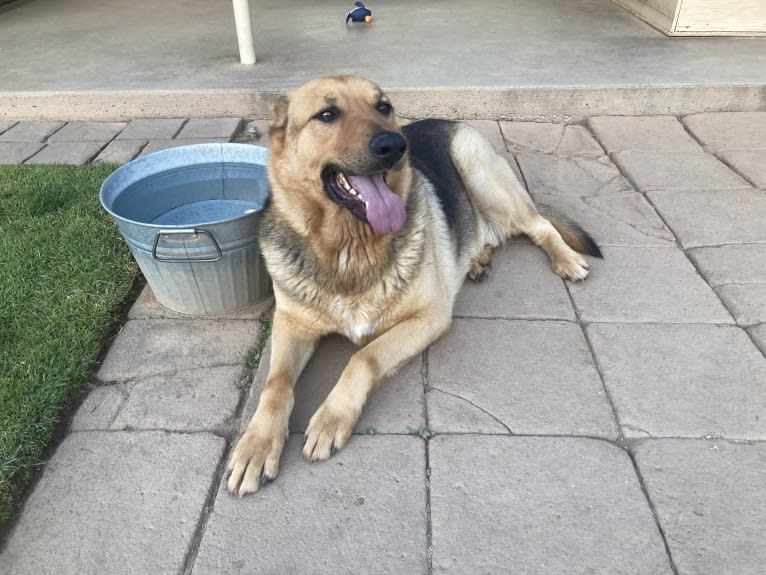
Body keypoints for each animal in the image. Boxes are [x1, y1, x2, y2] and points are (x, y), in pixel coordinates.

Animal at [225, 75, 604, 500]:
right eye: (326, 114)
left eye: (383, 106)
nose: (394, 146)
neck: (349, 247)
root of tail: (446, 122)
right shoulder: (292, 325)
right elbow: (276, 384)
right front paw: (257, 445)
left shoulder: (429, 318)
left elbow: (364, 357)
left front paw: (330, 418)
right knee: (488, 235)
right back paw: (477, 260)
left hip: (480, 171)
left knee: (540, 225)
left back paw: (565, 259)